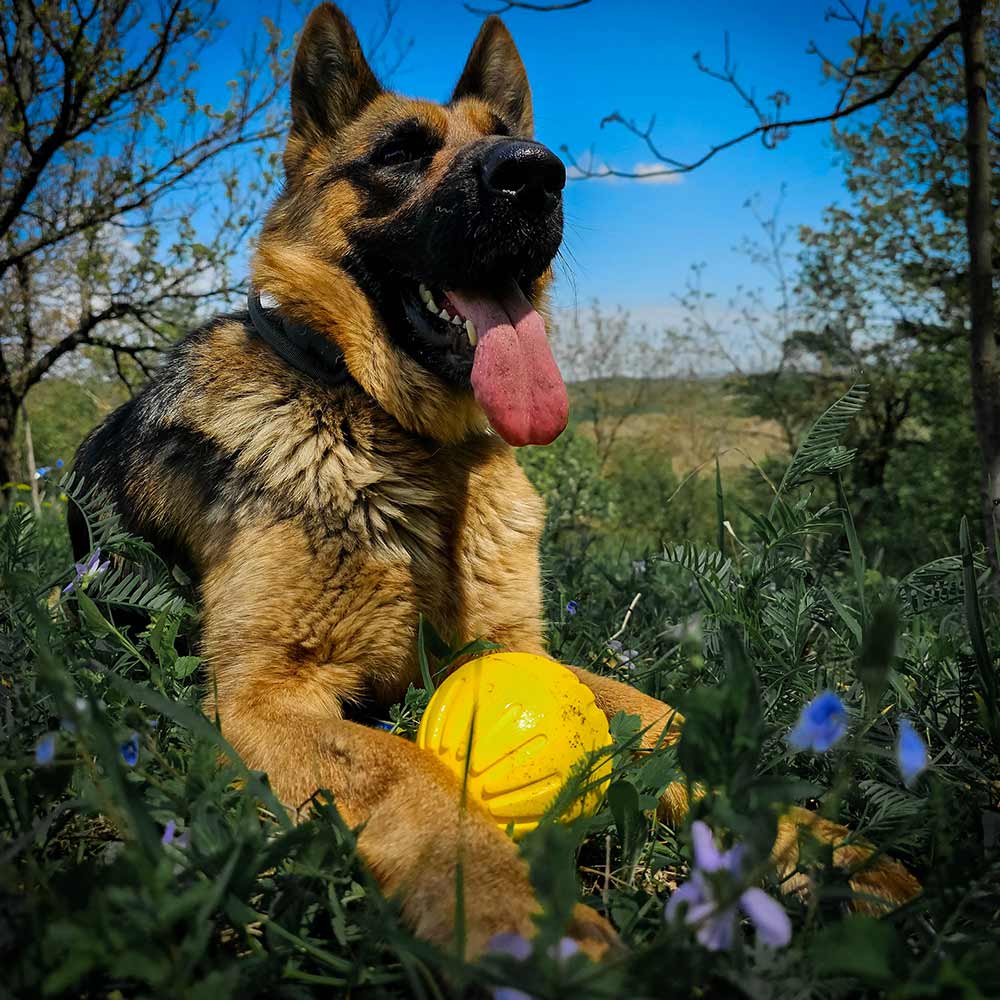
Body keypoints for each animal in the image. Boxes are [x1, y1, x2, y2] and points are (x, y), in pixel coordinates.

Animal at [68, 1, 916, 960]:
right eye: (400, 152)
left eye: (513, 138)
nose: (535, 175)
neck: (398, 437)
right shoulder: (266, 695)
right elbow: (409, 773)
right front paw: (515, 915)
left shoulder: (518, 649)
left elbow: (657, 723)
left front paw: (818, 845)